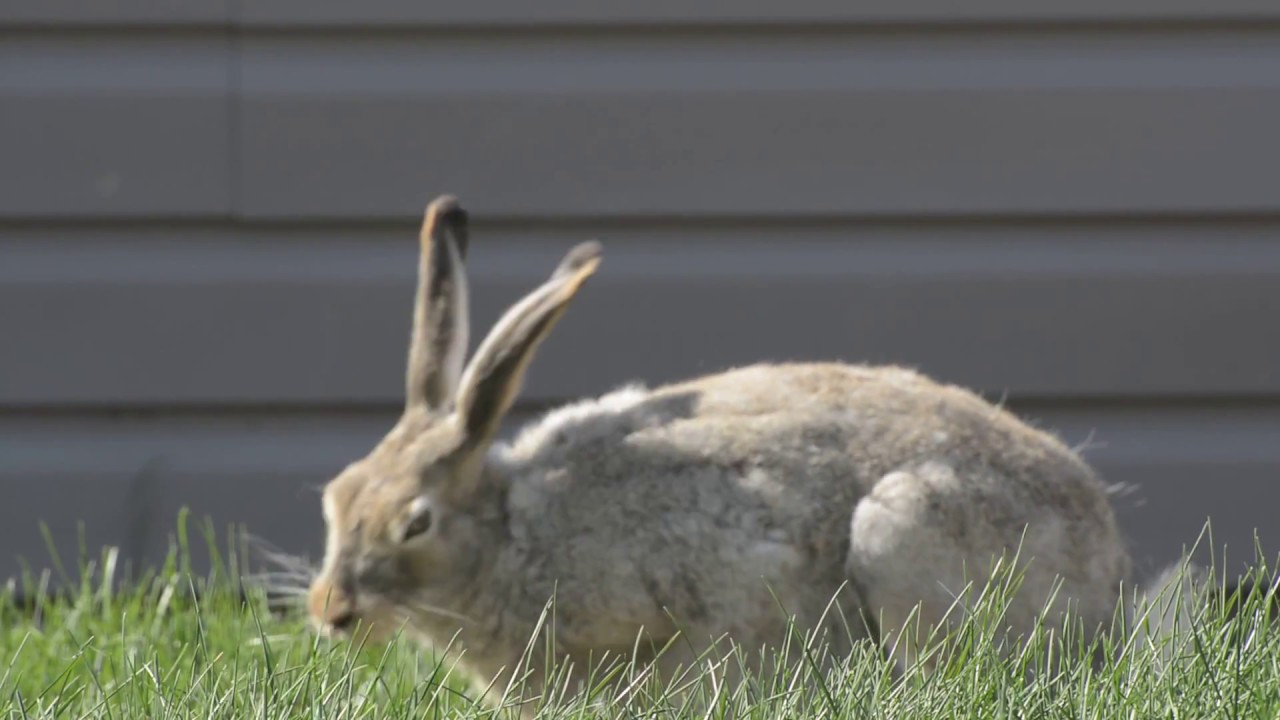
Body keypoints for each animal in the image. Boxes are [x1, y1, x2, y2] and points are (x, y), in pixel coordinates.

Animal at [305, 194, 1137, 712]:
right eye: (334, 496)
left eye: (414, 523)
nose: (329, 611)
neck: (512, 535)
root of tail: (1107, 564)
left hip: (904, 531)